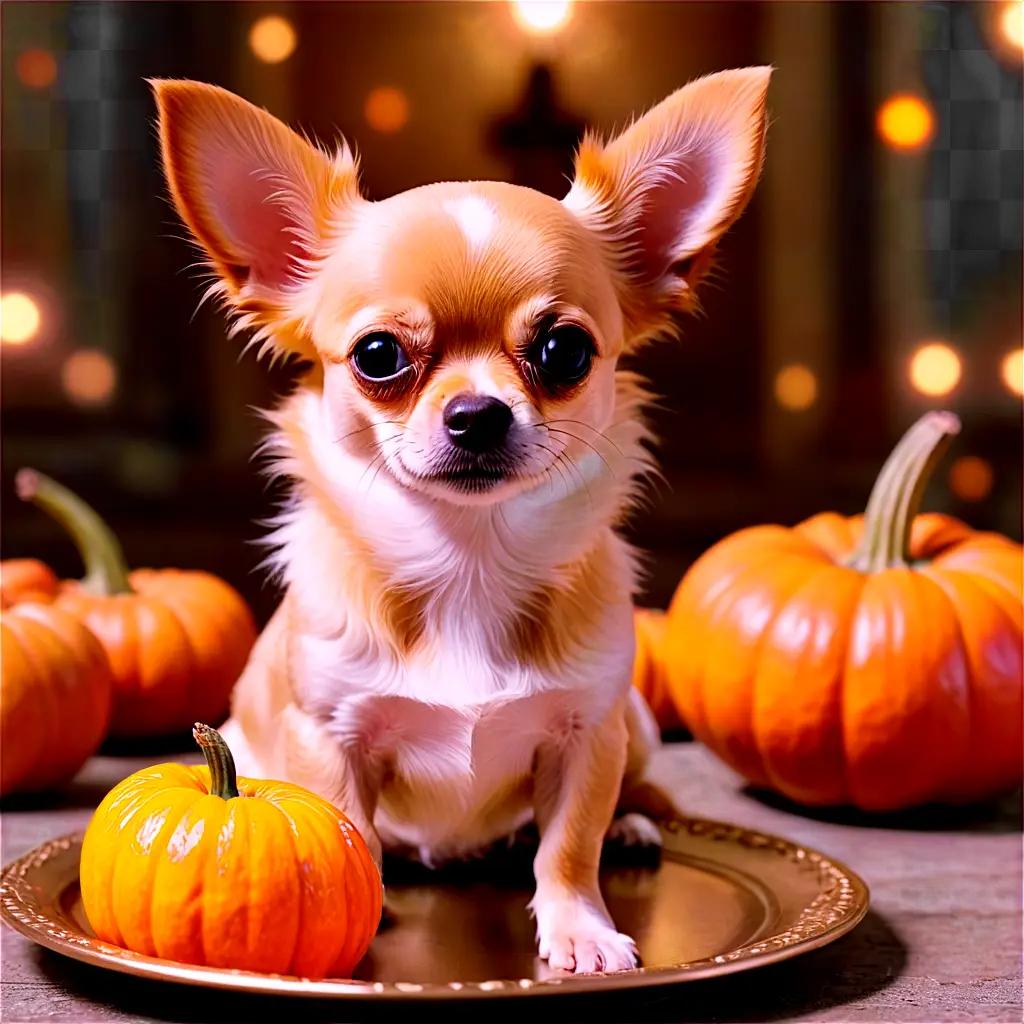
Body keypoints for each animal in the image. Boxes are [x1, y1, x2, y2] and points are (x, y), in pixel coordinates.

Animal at [153, 68, 770, 970]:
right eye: (377, 356)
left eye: (564, 352)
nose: (477, 413)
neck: (469, 563)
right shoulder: (329, 736)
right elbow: (351, 835)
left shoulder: (589, 734)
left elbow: (567, 845)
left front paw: (581, 925)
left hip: (639, 721)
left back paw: (629, 824)